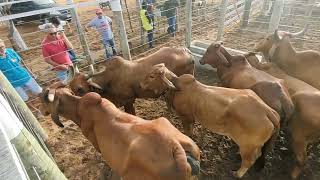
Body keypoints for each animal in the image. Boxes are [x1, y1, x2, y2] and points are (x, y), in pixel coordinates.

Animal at [140, 64, 280, 178]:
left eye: (152, 76)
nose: (141, 84)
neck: (177, 89)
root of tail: (267, 110)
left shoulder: (186, 117)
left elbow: (188, 132)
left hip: (248, 145)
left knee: (249, 160)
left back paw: (237, 173)